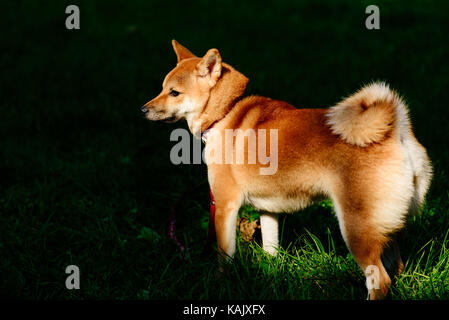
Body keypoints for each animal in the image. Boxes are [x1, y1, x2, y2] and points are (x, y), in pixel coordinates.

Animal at [142, 40, 432, 300]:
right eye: (162, 88)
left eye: (174, 92)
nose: (143, 109)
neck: (226, 113)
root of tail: (396, 131)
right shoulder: (268, 209)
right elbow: (271, 249)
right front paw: (270, 277)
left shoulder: (225, 204)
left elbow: (224, 256)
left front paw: (219, 285)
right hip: (387, 227)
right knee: (396, 268)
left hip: (357, 229)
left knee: (380, 280)